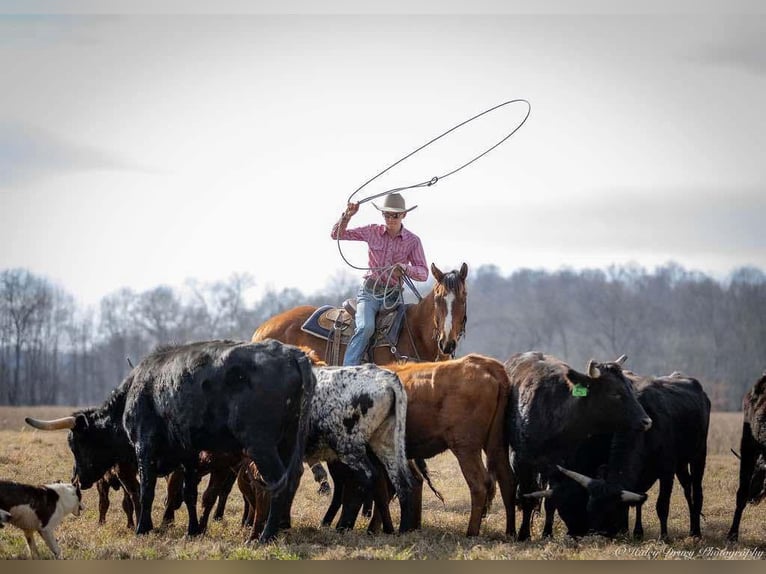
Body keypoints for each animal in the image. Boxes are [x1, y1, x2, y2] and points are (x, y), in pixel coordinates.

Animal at [25, 340, 316, 548]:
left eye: (76, 443)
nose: (76, 479)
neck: (136, 390)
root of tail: (292, 354)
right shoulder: (188, 454)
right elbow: (188, 494)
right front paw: (193, 530)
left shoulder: (145, 447)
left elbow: (146, 491)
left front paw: (143, 528)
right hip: (287, 442)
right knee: (292, 479)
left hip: (261, 446)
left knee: (277, 484)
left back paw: (265, 536)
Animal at [508, 354, 652, 544]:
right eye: (615, 393)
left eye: (630, 388)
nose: (647, 421)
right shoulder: (521, 463)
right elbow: (527, 498)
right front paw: (524, 534)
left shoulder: (563, 468)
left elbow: (552, 501)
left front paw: (548, 533)